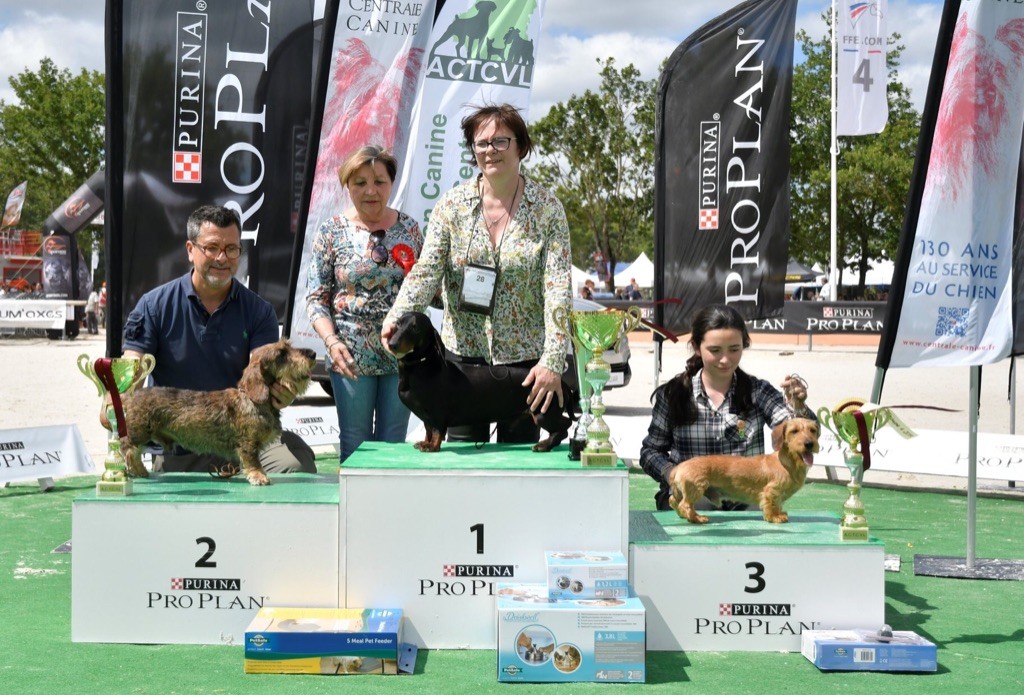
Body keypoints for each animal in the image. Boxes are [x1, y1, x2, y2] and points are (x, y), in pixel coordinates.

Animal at [119, 339, 313, 487]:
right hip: (140, 432)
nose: (312, 354)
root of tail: (132, 396)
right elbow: (253, 461)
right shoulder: (248, 444)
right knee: (128, 449)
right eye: (281, 354)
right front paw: (259, 476)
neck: (251, 400)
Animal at [387, 313, 577, 454]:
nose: (392, 344)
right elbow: (428, 430)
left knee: (566, 425)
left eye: (415, 328)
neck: (422, 366)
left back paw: (544, 445)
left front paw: (432, 446)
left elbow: (436, 431)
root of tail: (562, 384)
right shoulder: (427, 417)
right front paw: (424, 442)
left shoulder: (437, 414)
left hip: (542, 413)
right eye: (398, 323)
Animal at [667, 419, 819, 522]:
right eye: (794, 431)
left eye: (812, 430)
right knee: (684, 505)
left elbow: (778, 505)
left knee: (673, 501)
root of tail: (679, 466)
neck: (788, 463)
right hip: (696, 488)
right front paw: (774, 517)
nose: (809, 444)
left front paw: (780, 514)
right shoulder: (771, 491)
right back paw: (697, 518)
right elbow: (772, 504)